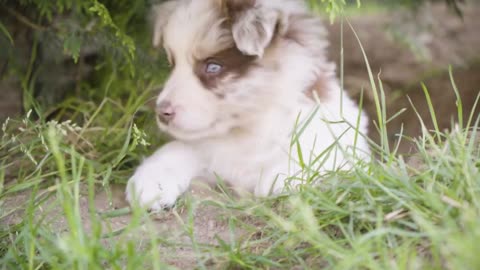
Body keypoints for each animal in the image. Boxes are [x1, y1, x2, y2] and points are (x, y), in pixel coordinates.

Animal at [125, 0, 370, 210]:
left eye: (213, 67)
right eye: (172, 64)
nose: (162, 112)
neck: (246, 131)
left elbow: (315, 157)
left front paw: (282, 180)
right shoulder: (205, 148)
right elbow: (175, 150)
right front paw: (150, 183)